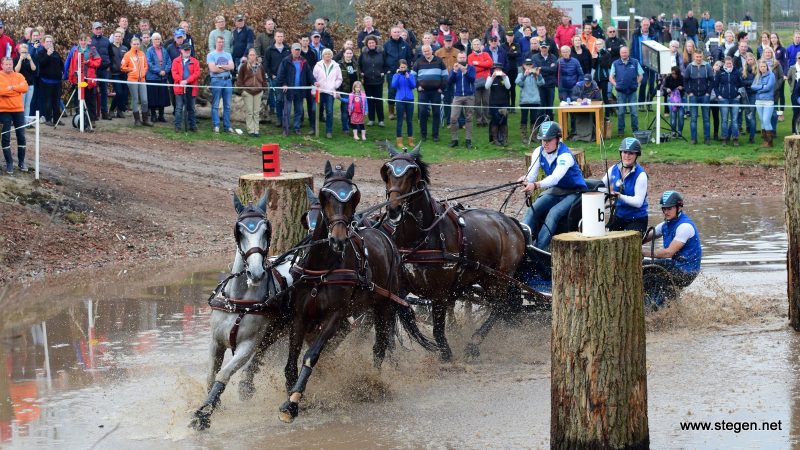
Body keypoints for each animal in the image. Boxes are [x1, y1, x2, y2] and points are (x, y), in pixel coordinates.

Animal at [276, 163, 438, 424]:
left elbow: (311, 354)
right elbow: (291, 360)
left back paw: (374, 383)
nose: (338, 239)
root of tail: (387, 239)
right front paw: (294, 394)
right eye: (326, 195)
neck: (322, 268)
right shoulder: (300, 315)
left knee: (380, 346)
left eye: (354, 197)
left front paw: (293, 402)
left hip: (384, 305)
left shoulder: (335, 315)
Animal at [380, 145, 528, 362]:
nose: (394, 208)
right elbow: (401, 318)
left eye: (411, 172)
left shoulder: (439, 293)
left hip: (499, 277)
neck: (421, 237)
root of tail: (511, 222)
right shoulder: (401, 286)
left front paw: (446, 353)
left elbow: (437, 329)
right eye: (388, 171)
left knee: (500, 306)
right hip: (482, 277)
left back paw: (474, 342)